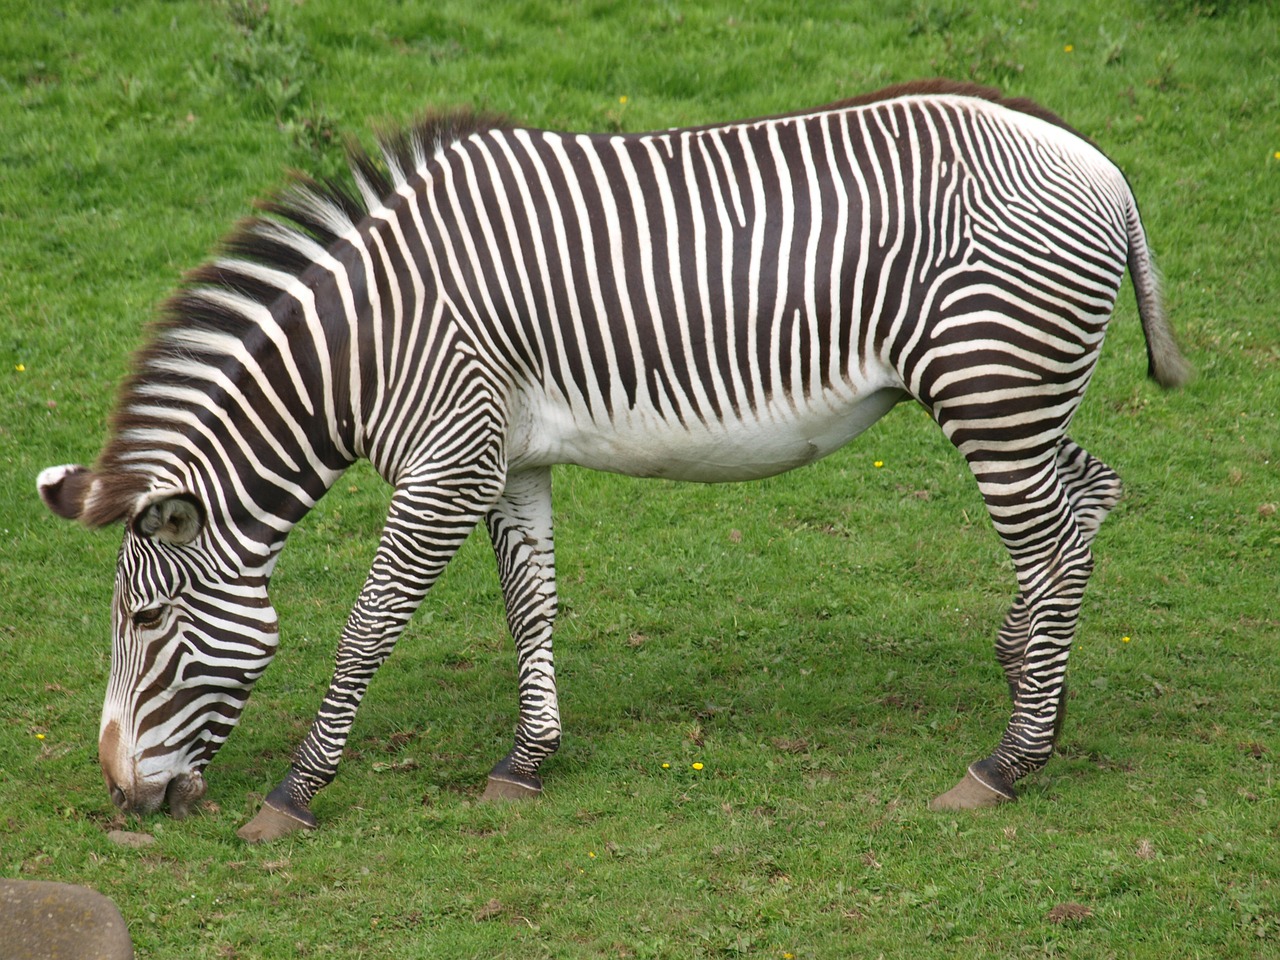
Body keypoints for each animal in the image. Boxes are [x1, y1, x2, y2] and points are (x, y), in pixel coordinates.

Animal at [35, 84, 1187, 849]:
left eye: (145, 622)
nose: (122, 796)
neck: (369, 340)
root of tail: (1102, 166)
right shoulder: (506, 459)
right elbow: (528, 604)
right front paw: (525, 762)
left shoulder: (445, 461)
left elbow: (369, 627)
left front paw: (293, 795)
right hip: (1013, 397)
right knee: (1087, 500)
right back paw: (1029, 680)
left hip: (992, 390)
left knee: (1050, 537)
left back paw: (1008, 761)